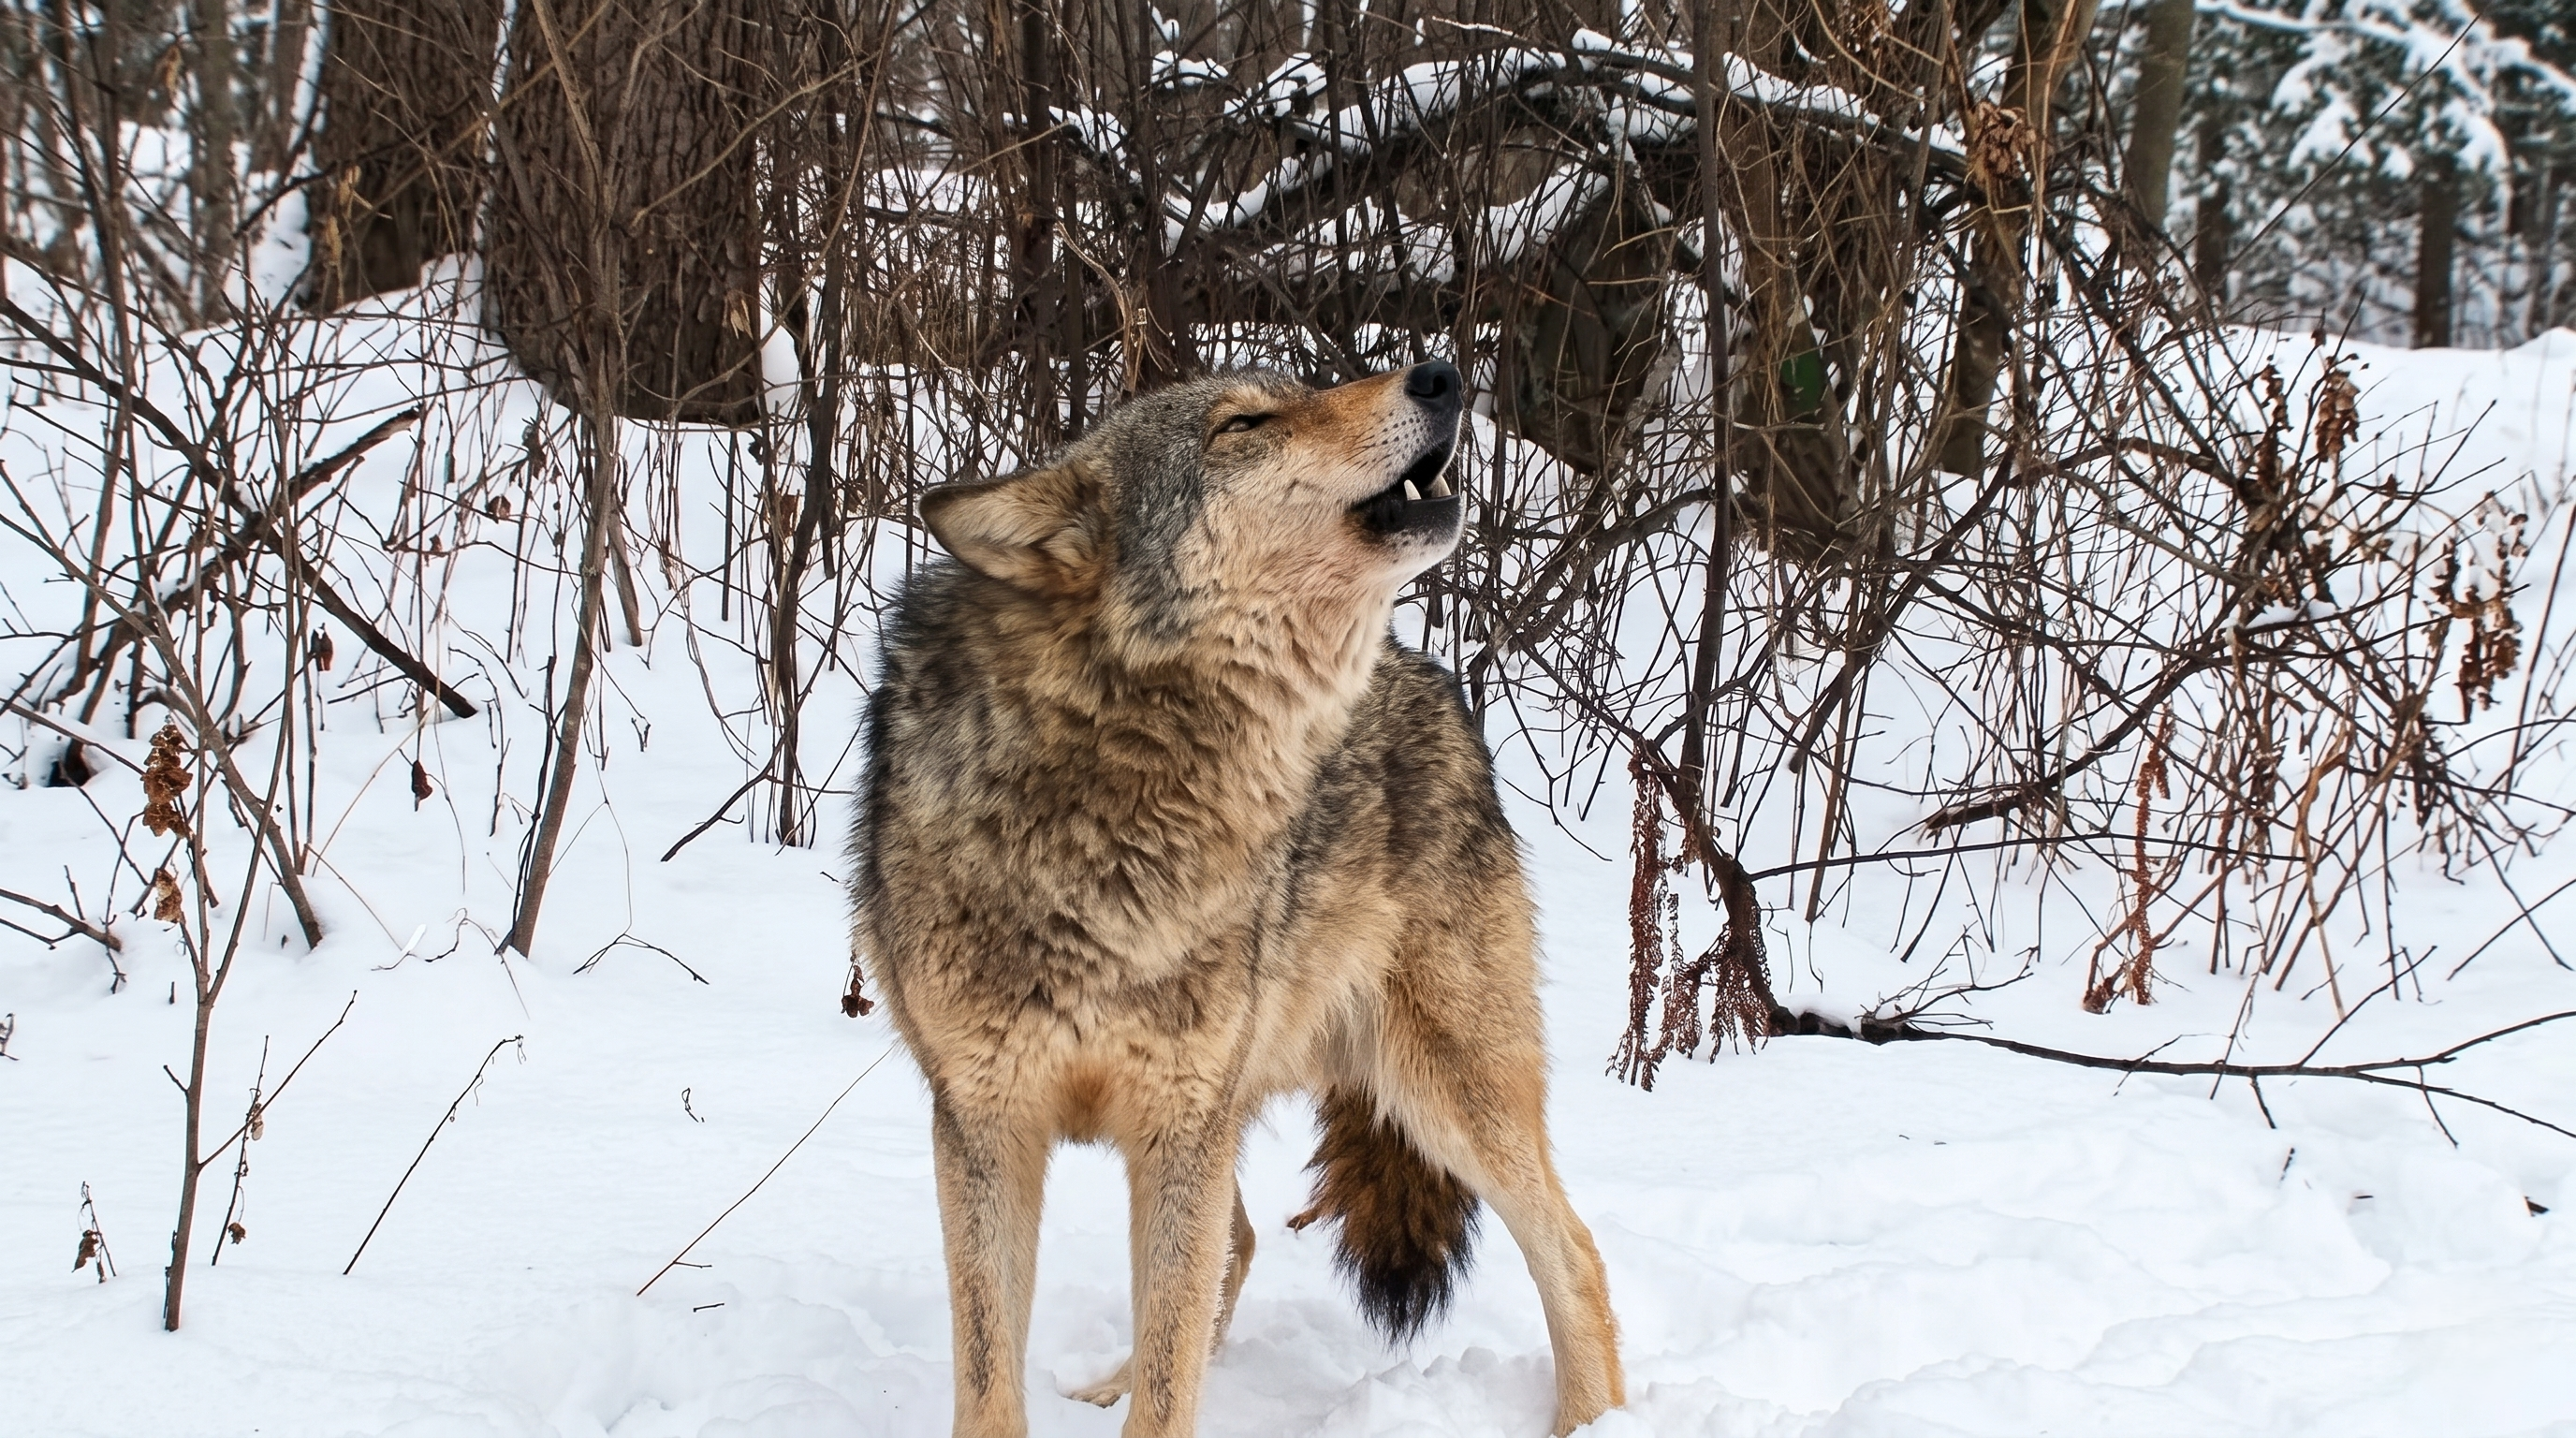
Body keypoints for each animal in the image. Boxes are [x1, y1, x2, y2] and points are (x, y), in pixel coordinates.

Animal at [850, 361, 1624, 1437]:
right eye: (1244, 425)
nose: (1440, 374)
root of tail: (1432, 676)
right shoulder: (984, 1125)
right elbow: (992, 1378)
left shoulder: (1179, 1128)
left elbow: (1170, 1386)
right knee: (1243, 1246)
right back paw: (1107, 1381)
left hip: (1441, 1093)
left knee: (1576, 1250)